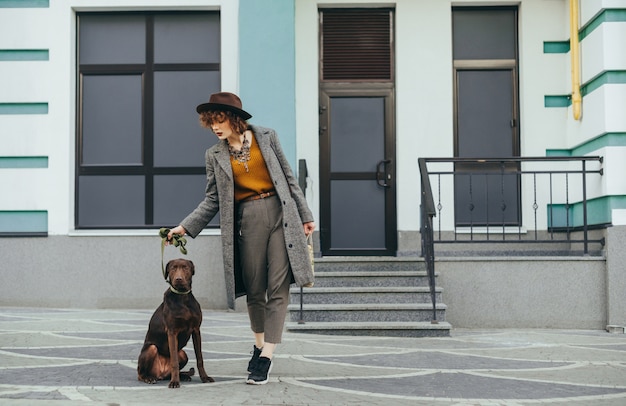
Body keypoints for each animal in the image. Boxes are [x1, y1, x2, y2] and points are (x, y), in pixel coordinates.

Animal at [135, 258, 213, 388]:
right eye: (173, 268)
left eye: (185, 267)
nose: (178, 279)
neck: (182, 298)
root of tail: (160, 374)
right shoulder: (172, 332)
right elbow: (174, 361)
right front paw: (175, 382)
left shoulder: (196, 330)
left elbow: (199, 358)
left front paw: (205, 377)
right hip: (151, 348)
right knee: (140, 374)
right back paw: (149, 378)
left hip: (182, 353)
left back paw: (183, 376)